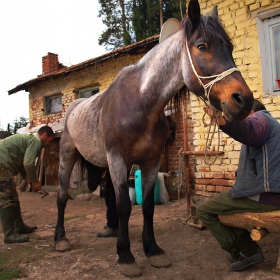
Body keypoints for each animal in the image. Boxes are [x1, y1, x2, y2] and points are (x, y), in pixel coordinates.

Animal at [54, 0, 254, 276]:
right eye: (202, 46)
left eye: (231, 47)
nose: (243, 101)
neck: (140, 103)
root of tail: (73, 109)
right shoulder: (118, 159)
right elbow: (125, 206)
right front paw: (126, 257)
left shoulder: (150, 161)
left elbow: (147, 206)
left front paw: (153, 250)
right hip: (68, 156)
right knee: (62, 196)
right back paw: (60, 239)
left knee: (107, 197)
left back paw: (110, 231)